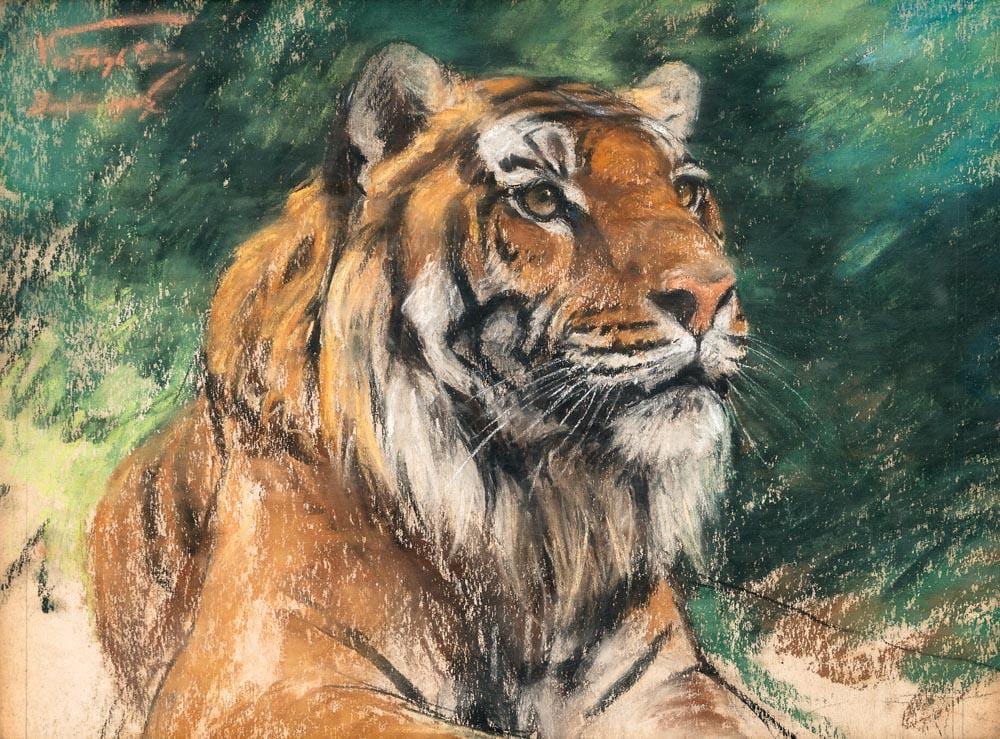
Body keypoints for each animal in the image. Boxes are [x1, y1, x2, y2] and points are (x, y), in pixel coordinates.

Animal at [90, 44, 779, 737]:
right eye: (541, 198)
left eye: (688, 191)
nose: (712, 295)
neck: (535, 511)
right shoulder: (259, 686)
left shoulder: (671, 680)